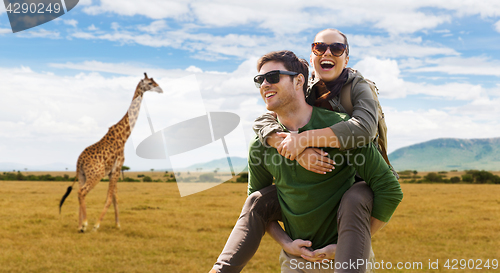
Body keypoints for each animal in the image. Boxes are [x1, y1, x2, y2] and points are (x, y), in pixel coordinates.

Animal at [59, 73, 162, 232]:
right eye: (150, 83)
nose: (160, 89)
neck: (124, 136)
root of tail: (79, 161)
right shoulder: (117, 168)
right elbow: (109, 198)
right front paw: (97, 225)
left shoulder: (113, 171)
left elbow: (115, 197)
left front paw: (118, 224)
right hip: (96, 175)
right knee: (82, 192)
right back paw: (85, 224)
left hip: (82, 175)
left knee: (78, 192)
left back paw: (80, 225)